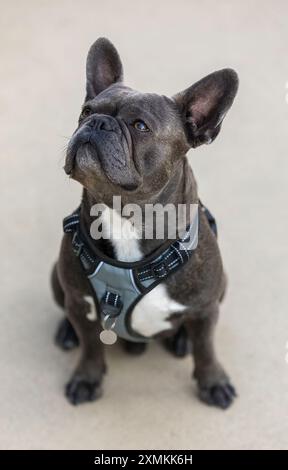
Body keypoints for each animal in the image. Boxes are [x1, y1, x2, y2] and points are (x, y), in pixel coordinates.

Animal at [51, 36, 238, 408]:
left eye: (139, 126)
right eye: (86, 111)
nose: (98, 123)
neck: (124, 215)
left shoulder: (206, 309)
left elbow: (206, 349)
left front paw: (213, 382)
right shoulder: (80, 303)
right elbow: (91, 347)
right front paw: (87, 378)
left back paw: (181, 339)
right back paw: (67, 333)